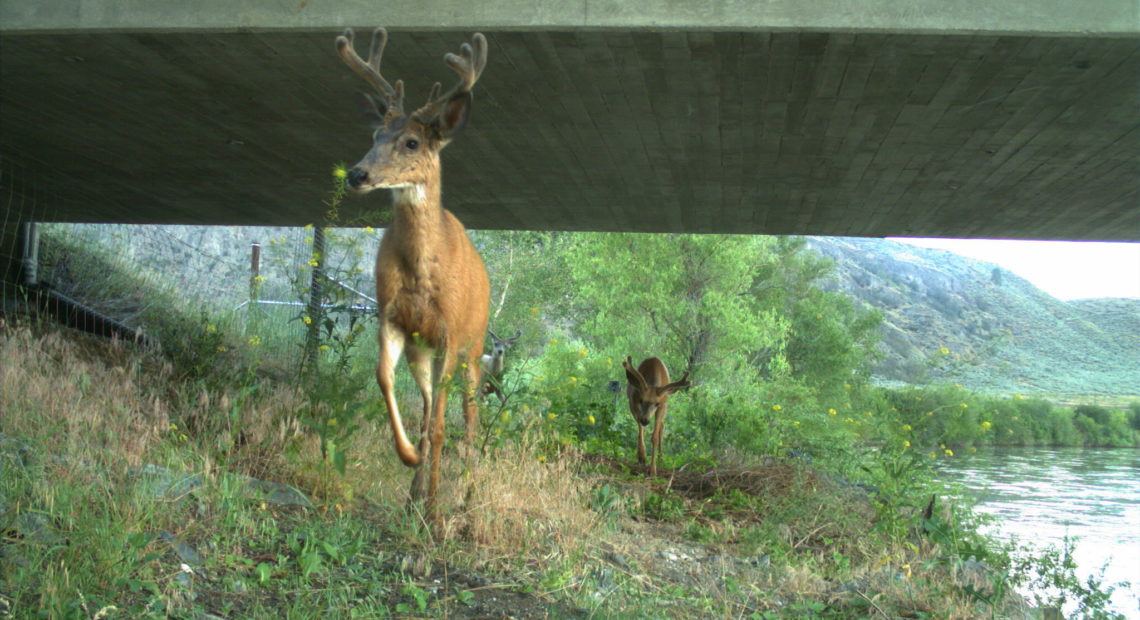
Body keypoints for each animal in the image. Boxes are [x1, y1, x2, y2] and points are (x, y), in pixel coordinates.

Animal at [332, 27, 487, 517]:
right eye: (375, 133)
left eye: (412, 143)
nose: (357, 174)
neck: (422, 272)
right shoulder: (393, 318)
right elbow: (384, 379)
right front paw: (410, 461)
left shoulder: (451, 333)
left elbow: (442, 426)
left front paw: (436, 513)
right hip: (425, 350)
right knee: (425, 406)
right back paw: (416, 492)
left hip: (475, 345)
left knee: (470, 418)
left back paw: (466, 500)